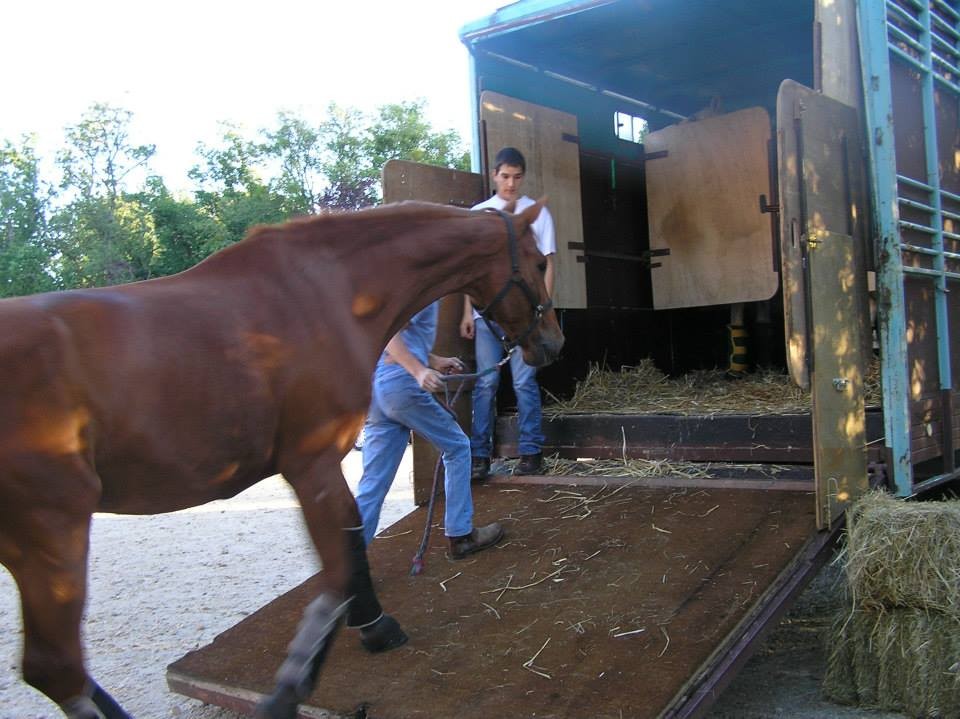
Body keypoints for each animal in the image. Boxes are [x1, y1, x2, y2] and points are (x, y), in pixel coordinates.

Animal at [0, 201, 568, 719]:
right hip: (54, 532)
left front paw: (368, 625)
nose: (554, 342)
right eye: (540, 261)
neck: (328, 293)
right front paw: (309, 671)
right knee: (56, 668)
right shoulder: (311, 464)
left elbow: (350, 548)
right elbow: (340, 563)